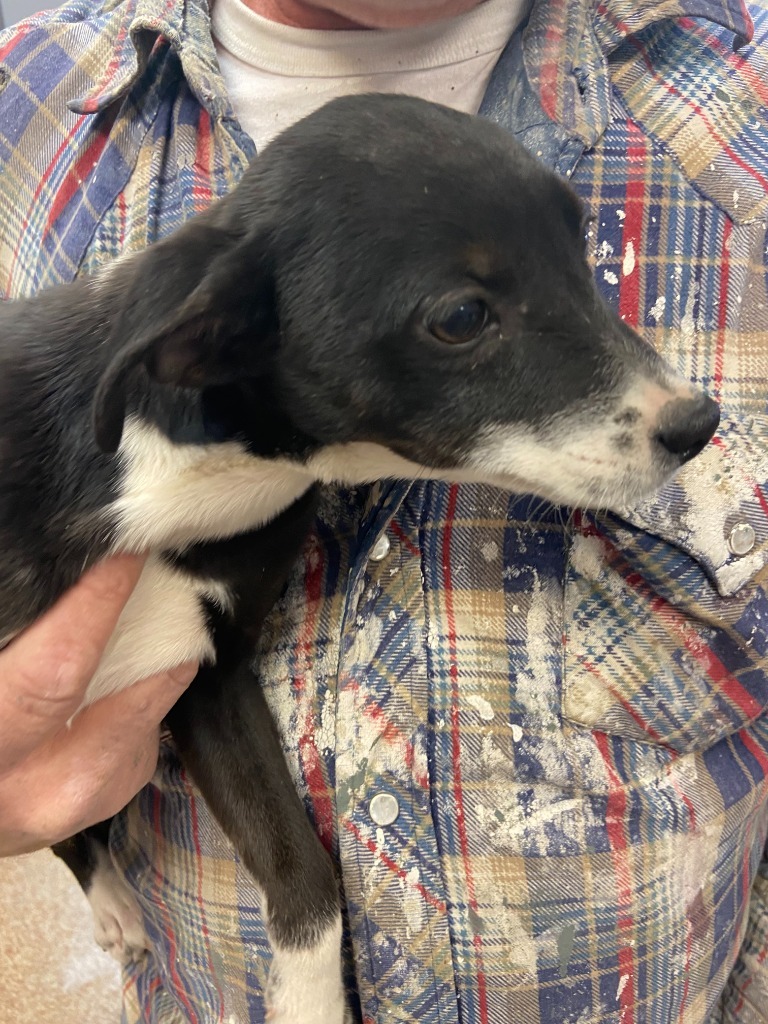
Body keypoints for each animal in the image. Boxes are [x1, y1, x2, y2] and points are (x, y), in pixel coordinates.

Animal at [0, 96, 720, 1024]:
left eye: (580, 242)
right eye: (461, 318)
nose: (699, 422)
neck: (170, 478)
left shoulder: (208, 681)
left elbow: (304, 875)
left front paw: (307, 1003)